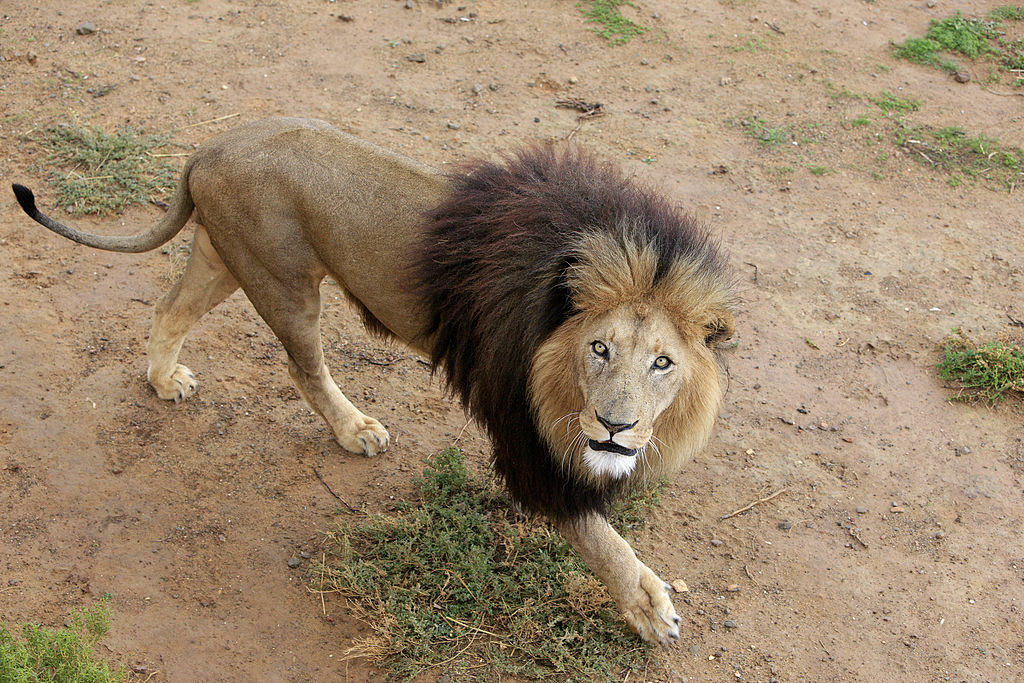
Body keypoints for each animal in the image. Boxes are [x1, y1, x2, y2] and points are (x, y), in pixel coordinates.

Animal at [12, 114, 733, 643]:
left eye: (663, 362)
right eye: (599, 348)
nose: (614, 426)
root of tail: (209, 148)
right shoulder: (517, 426)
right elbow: (593, 532)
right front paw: (648, 603)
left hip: (222, 255)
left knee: (168, 308)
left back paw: (165, 381)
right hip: (283, 283)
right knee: (303, 368)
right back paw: (354, 428)